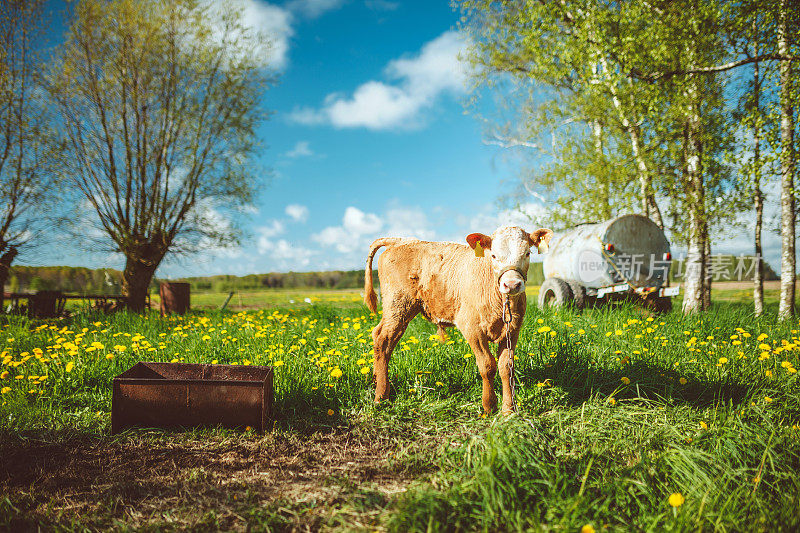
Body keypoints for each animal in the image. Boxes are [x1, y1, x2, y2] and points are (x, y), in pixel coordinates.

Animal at [366, 227, 552, 414]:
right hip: (397, 307)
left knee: (381, 339)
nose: (512, 284)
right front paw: (489, 406)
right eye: (493, 255)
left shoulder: (513, 329)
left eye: (527, 253)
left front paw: (508, 409)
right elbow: (487, 365)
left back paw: (377, 381)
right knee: (383, 339)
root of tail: (401, 240)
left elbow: (506, 367)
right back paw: (381, 396)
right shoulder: (471, 328)